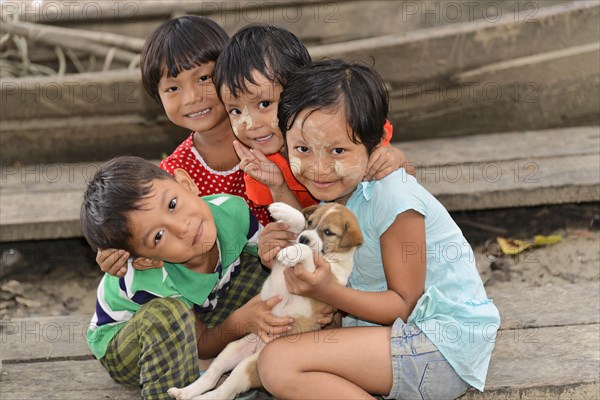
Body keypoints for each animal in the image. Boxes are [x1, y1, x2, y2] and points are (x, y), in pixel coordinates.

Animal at [168, 203, 360, 400]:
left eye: (328, 232)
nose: (304, 238)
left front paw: (294, 251)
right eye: (310, 222)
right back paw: (183, 392)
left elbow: (306, 251)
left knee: (224, 392)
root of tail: (259, 348)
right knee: (212, 378)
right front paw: (284, 211)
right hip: (231, 349)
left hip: (247, 367)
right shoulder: (278, 262)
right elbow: (296, 228)